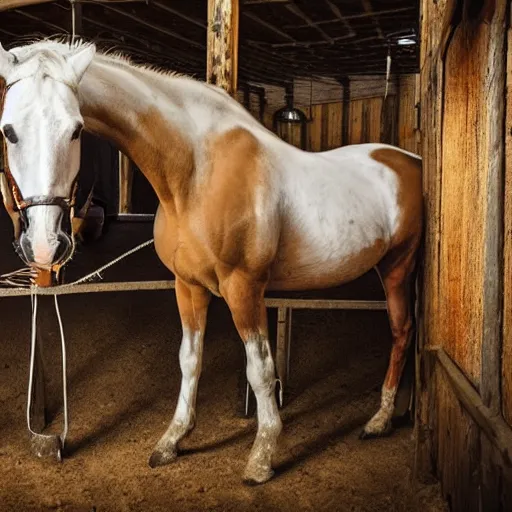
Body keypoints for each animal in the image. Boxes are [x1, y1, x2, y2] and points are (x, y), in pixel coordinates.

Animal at [0, 39, 424, 484]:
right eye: (8, 130)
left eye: (76, 129)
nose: (44, 245)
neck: (194, 172)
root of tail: (412, 161)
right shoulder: (187, 285)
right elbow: (189, 359)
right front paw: (173, 440)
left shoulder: (244, 288)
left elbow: (260, 370)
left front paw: (261, 457)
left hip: (398, 267)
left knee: (401, 331)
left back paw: (379, 420)